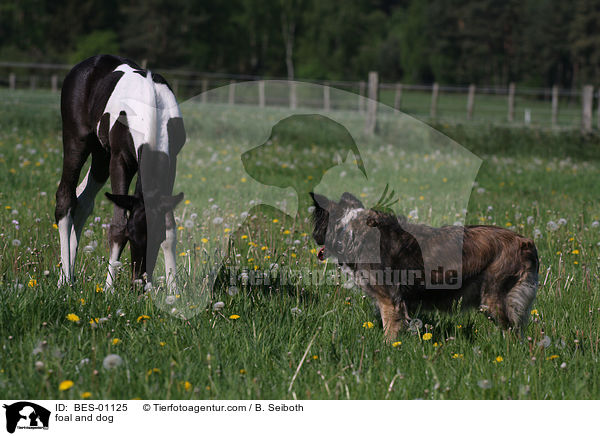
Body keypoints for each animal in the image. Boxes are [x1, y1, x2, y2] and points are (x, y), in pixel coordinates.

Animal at [56, 56, 188, 292]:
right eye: (131, 237)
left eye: (157, 239)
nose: (139, 285)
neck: (152, 110)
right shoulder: (119, 161)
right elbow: (117, 226)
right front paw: (109, 288)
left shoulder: (171, 161)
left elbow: (170, 227)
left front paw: (174, 289)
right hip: (77, 141)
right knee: (65, 198)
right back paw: (63, 279)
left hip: (101, 156)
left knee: (82, 202)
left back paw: (70, 276)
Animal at [310, 192, 540, 340]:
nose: (313, 237)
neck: (350, 230)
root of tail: (525, 241)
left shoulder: (390, 301)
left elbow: (389, 333)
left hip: (493, 299)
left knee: (513, 333)